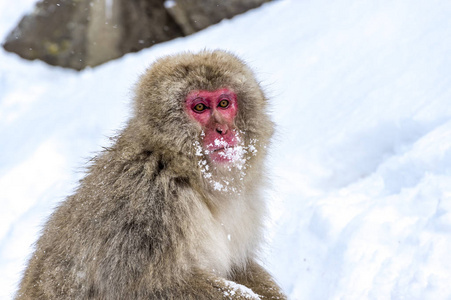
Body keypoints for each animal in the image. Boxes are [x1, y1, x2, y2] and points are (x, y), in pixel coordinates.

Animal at [17, 50, 288, 298]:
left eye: (224, 103)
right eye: (200, 107)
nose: (223, 129)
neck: (180, 170)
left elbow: (239, 268)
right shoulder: (148, 208)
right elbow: (151, 287)